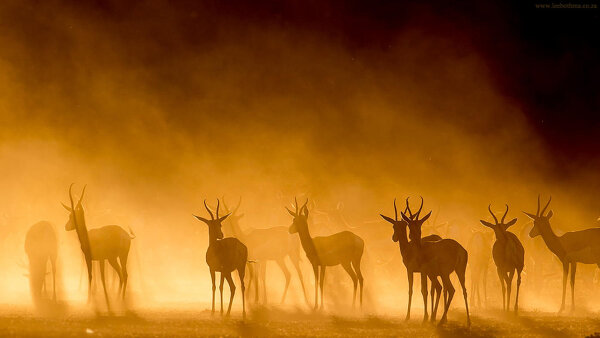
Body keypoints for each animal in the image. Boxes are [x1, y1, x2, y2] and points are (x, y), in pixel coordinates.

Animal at [400, 197, 472, 326]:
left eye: (417, 225)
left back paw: (441, 320)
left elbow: (425, 290)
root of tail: (459, 249)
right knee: (463, 290)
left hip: (445, 273)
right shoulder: (431, 274)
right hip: (459, 271)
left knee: (451, 289)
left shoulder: (424, 272)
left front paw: (426, 318)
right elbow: (434, 290)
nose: (411, 236)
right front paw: (431, 317)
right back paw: (468, 321)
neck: (421, 250)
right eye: (409, 225)